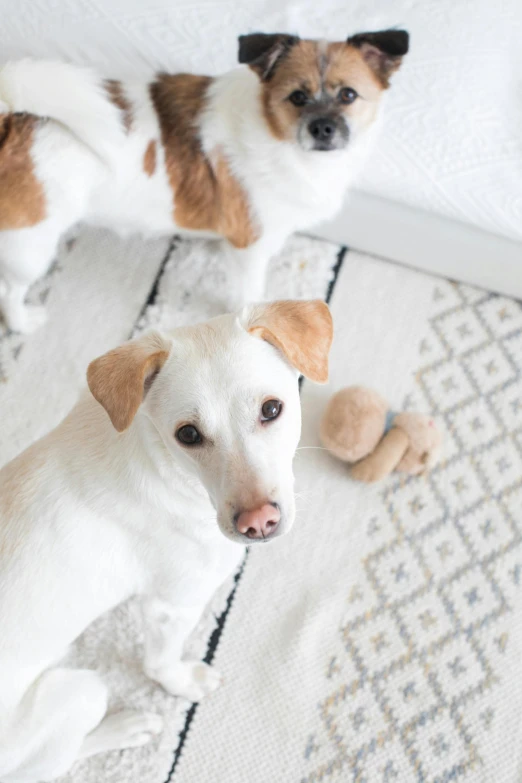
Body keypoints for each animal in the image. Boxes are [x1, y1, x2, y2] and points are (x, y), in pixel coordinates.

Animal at [0, 28, 406, 330]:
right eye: (297, 97)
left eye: (348, 95)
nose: (322, 128)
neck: (276, 134)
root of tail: (12, 122)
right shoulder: (251, 249)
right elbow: (250, 293)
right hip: (30, 248)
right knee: (10, 294)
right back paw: (23, 322)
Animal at [0, 298, 334, 780]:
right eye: (188, 434)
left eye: (272, 409)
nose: (258, 523)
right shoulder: (171, 605)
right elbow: (160, 664)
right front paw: (184, 683)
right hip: (81, 691)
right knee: (51, 763)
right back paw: (127, 727)